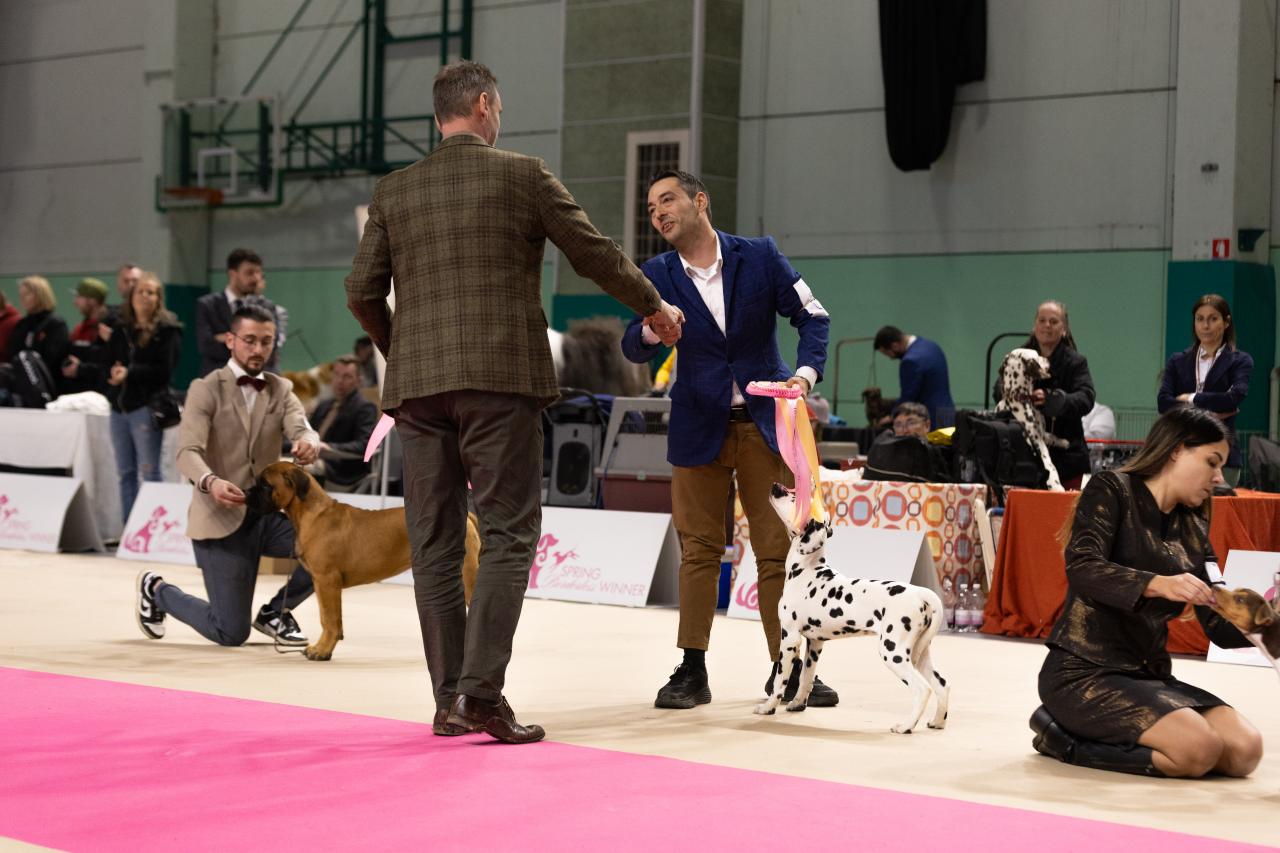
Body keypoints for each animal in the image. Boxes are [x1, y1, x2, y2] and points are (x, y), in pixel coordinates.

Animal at [246, 462, 480, 661]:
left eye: (265, 484)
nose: (247, 494)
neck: (311, 513)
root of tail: (468, 517)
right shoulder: (320, 583)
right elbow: (327, 618)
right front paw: (322, 647)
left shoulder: (327, 581)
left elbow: (329, 619)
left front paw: (322, 650)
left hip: (467, 576)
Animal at [754, 484, 950, 732]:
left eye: (795, 497)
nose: (776, 486)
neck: (806, 570)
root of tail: (923, 594)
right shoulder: (815, 643)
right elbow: (806, 678)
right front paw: (798, 704)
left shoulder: (789, 637)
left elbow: (781, 680)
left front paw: (768, 707)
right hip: (919, 653)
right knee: (942, 684)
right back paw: (937, 721)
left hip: (893, 651)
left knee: (922, 689)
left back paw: (905, 726)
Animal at [995, 348, 1066, 491]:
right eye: (1038, 355)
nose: (1048, 359)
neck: (1016, 396)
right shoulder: (1040, 442)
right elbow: (1050, 464)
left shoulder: (1042, 433)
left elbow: (1053, 436)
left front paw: (1064, 442)